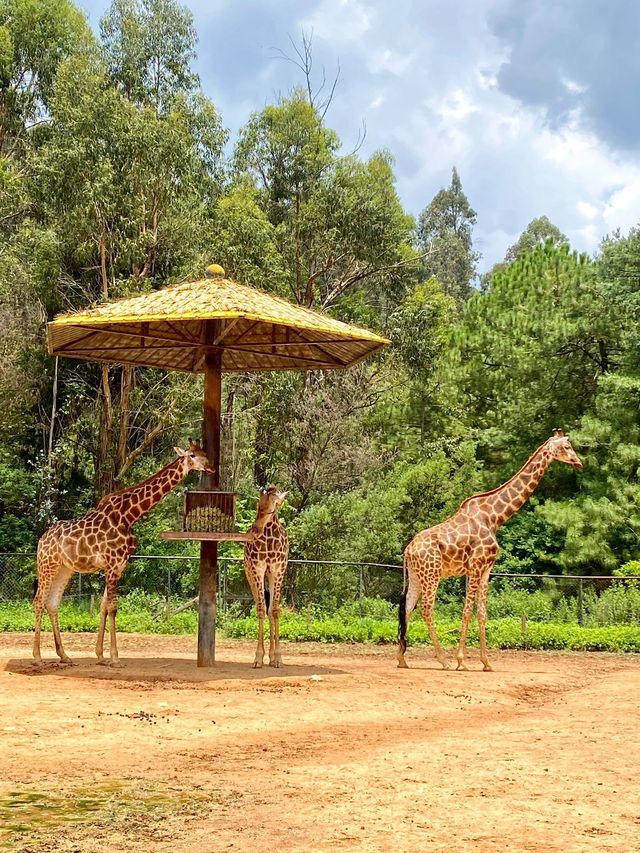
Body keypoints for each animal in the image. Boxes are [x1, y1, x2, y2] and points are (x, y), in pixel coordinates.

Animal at [31, 440, 212, 664]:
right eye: (192, 455)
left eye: (205, 453)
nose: (210, 467)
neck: (130, 515)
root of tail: (41, 540)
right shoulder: (111, 563)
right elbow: (113, 607)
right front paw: (115, 657)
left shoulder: (119, 565)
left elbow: (104, 606)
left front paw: (100, 654)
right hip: (47, 565)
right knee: (39, 601)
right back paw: (37, 656)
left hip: (64, 569)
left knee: (52, 603)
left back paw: (64, 655)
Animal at [398, 432, 584, 672]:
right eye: (567, 447)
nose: (579, 463)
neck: (495, 517)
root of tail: (408, 550)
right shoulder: (475, 566)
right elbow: (467, 611)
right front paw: (461, 661)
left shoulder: (486, 569)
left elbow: (482, 613)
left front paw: (486, 662)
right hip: (432, 575)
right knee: (426, 609)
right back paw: (444, 661)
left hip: (416, 576)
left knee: (407, 607)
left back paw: (402, 659)